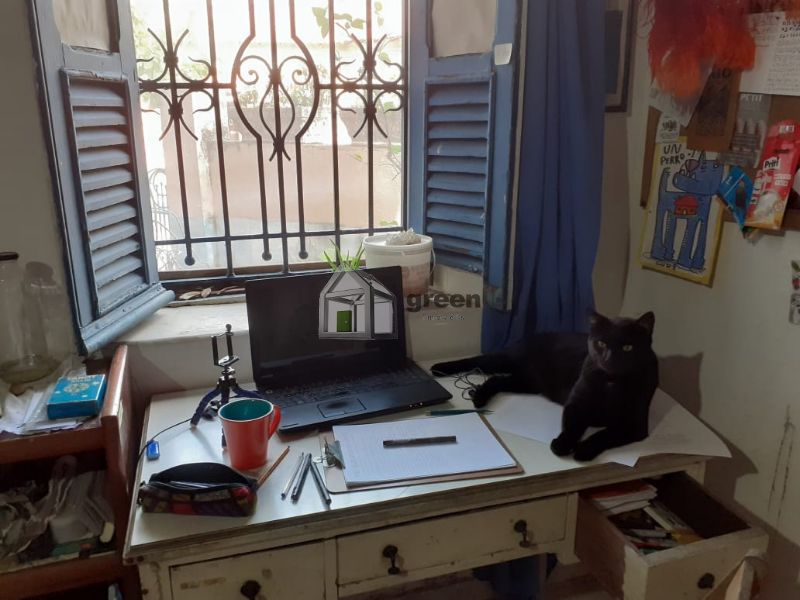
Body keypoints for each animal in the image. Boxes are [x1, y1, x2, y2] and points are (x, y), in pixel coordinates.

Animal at [431, 311, 659, 461]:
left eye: (628, 347)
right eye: (601, 343)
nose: (608, 359)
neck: (610, 381)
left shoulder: (635, 426)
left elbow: (604, 435)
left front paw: (583, 450)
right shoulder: (576, 404)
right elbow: (572, 426)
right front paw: (562, 445)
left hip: (526, 382)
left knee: (495, 381)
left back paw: (478, 397)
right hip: (508, 362)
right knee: (475, 361)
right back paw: (439, 368)